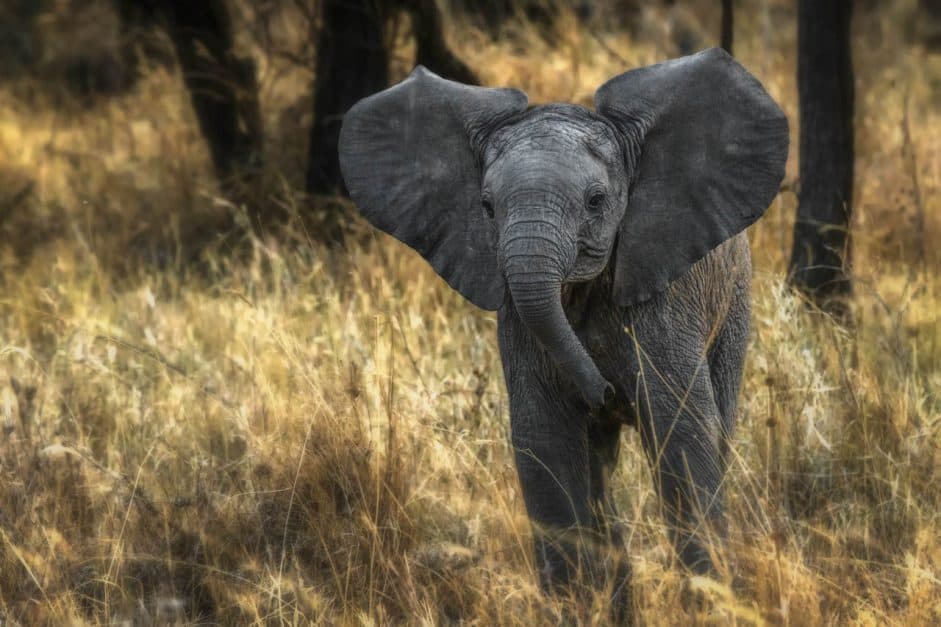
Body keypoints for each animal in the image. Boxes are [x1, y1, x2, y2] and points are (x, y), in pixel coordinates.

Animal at [338, 50, 784, 612]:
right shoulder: (519, 318)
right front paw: (574, 606)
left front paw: (709, 605)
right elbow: (547, 444)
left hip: (735, 301)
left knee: (716, 422)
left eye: (596, 201)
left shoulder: (665, 304)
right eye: (486, 207)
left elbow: (682, 433)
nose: (605, 392)